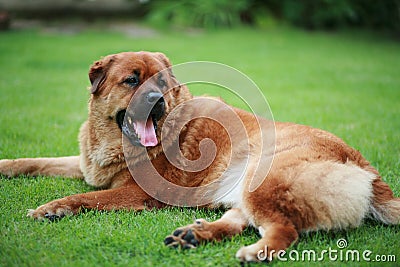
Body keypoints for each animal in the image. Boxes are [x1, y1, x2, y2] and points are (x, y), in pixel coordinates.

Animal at [0, 51, 398, 264]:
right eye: (132, 80)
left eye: (162, 84)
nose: (156, 101)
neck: (115, 143)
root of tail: (367, 168)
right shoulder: (86, 164)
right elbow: (40, 160)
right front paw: (7, 166)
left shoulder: (135, 193)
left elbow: (86, 197)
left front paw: (53, 208)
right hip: (245, 188)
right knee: (240, 220)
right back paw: (195, 235)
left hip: (263, 178)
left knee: (284, 230)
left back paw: (254, 251)